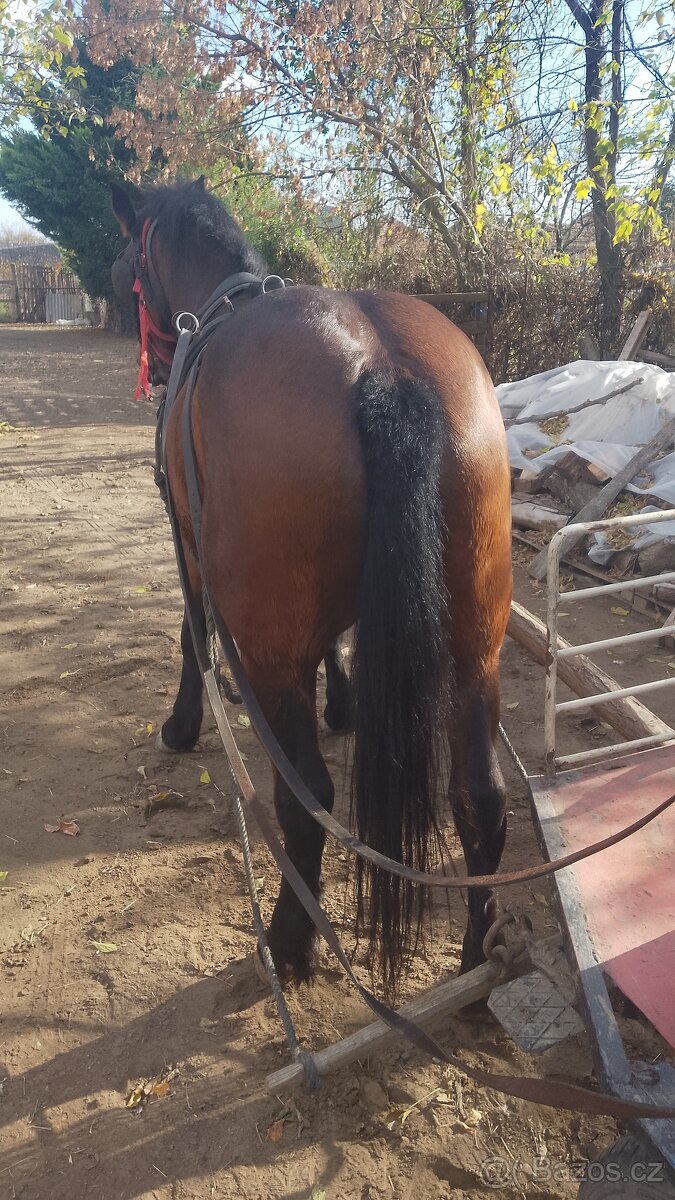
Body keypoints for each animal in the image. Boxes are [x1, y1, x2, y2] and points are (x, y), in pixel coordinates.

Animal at [110, 177, 513, 997]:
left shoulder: (187, 544)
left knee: (309, 802)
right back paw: (473, 958)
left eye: (132, 260)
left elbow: (190, 634)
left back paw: (290, 943)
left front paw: (182, 722)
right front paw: (344, 703)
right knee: (480, 797)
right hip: (475, 647)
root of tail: (384, 371)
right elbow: (338, 643)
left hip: (269, 653)